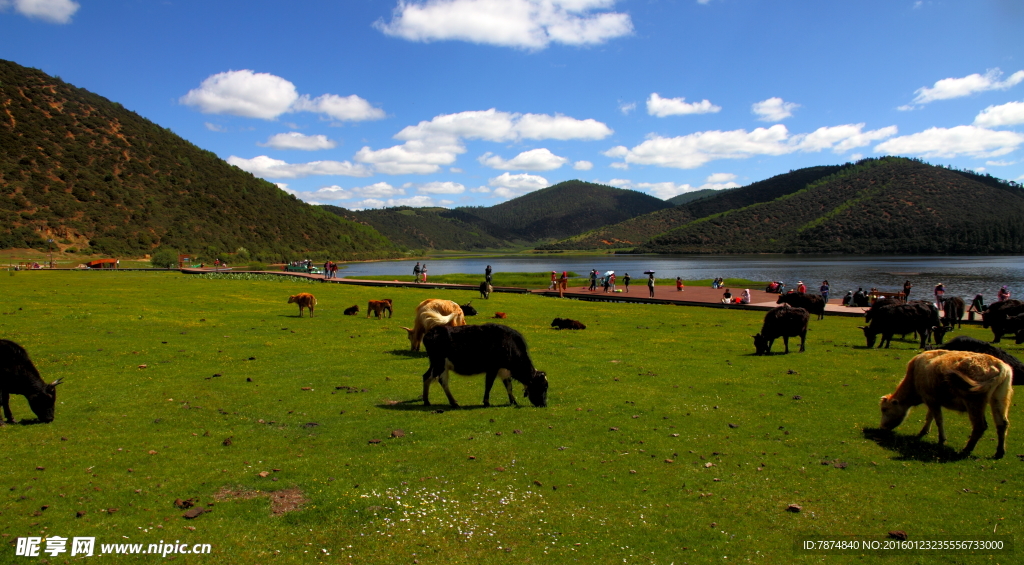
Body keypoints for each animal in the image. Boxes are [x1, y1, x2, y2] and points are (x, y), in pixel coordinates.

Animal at [419, 323, 548, 407]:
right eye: (543, 386)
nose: (544, 404)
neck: (509, 344)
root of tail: (431, 332)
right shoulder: (492, 368)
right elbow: (489, 385)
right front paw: (486, 402)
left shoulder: (504, 370)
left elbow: (508, 386)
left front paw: (513, 401)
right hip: (439, 364)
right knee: (439, 380)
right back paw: (450, 402)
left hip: (437, 365)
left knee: (428, 377)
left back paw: (429, 401)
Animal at [880, 348, 1015, 458]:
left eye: (884, 409)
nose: (882, 427)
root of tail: (999, 365)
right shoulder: (932, 400)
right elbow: (930, 416)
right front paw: (924, 431)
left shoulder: (931, 399)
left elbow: (938, 420)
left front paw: (941, 439)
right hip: (999, 399)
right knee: (1002, 424)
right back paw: (999, 452)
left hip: (974, 402)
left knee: (980, 426)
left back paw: (967, 449)